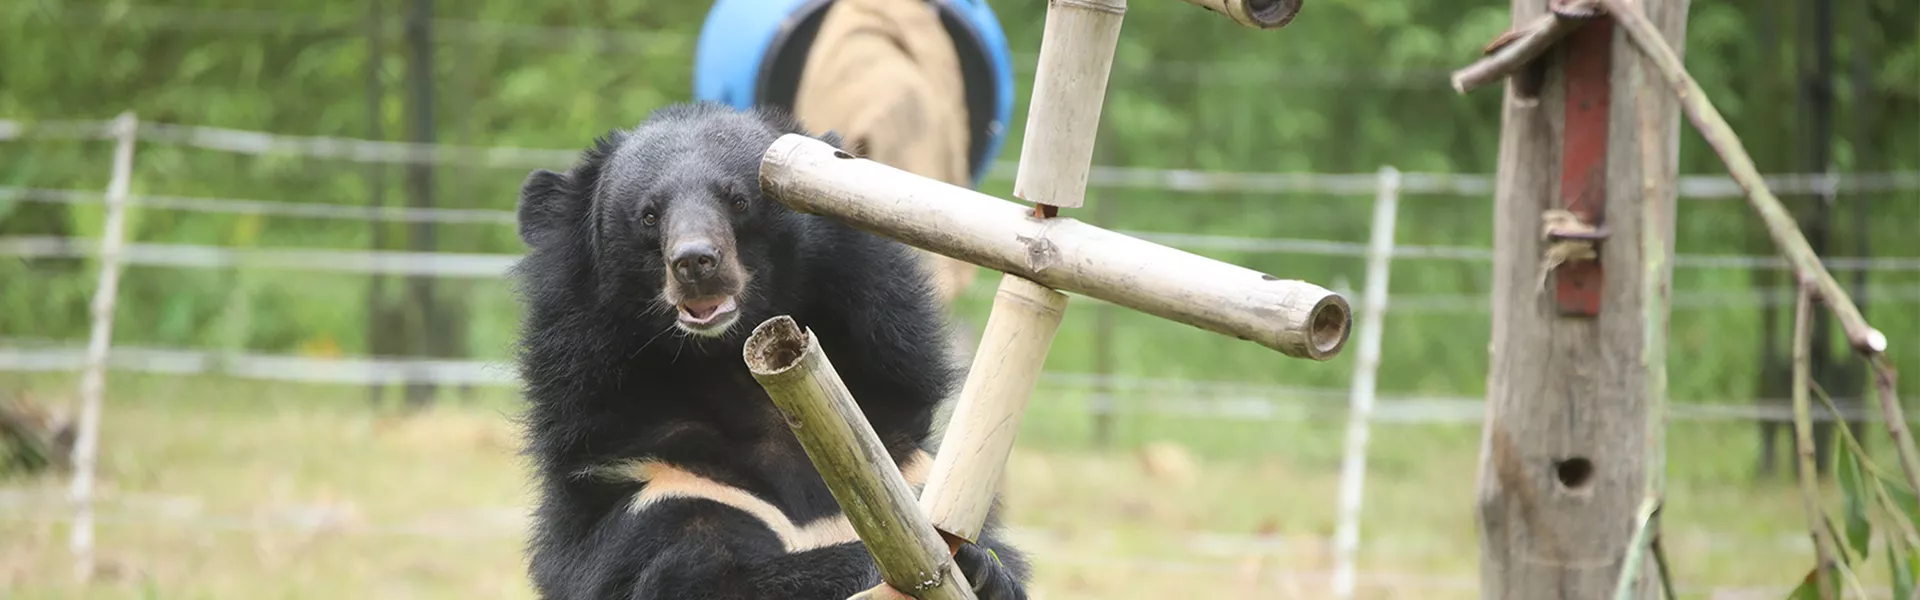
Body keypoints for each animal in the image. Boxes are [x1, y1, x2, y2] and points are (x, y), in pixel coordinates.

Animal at [508, 101, 1031, 600]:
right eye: (649, 214)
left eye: (738, 200)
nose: (695, 262)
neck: (731, 369)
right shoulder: (657, 490)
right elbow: (700, 581)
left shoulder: (907, 472)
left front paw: (983, 569)